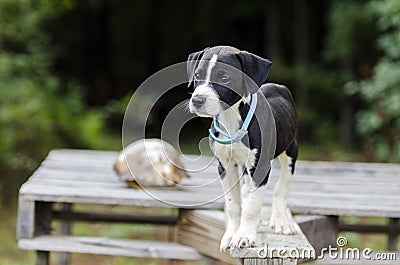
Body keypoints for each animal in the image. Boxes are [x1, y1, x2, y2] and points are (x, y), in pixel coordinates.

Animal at [188, 45, 296, 250]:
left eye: (224, 78)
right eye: (197, 75)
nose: (197, 100)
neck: (231, 118)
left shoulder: (261, 167)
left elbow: (253, 206)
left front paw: (244, 236)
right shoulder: (225, 166)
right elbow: (233, 205)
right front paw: (231, 234)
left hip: (291, 150)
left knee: (282, 187)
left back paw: (281, 222)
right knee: (247, 190)